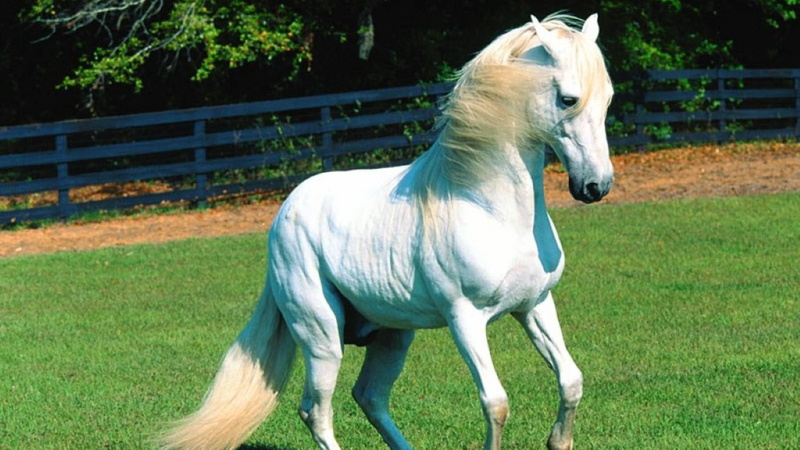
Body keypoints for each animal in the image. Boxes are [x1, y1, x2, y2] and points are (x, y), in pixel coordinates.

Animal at [159, 12, 614, 450]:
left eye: (608, 97)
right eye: (568, 98)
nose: (596, 186)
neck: (488, 208)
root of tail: (285, 213)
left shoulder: (535, 305)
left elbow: (571, 380)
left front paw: (559, 441)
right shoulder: (465, 319)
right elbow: (495, 402)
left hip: (392, 336)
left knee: (370, 396)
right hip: (322, 338)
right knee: (315, 411)